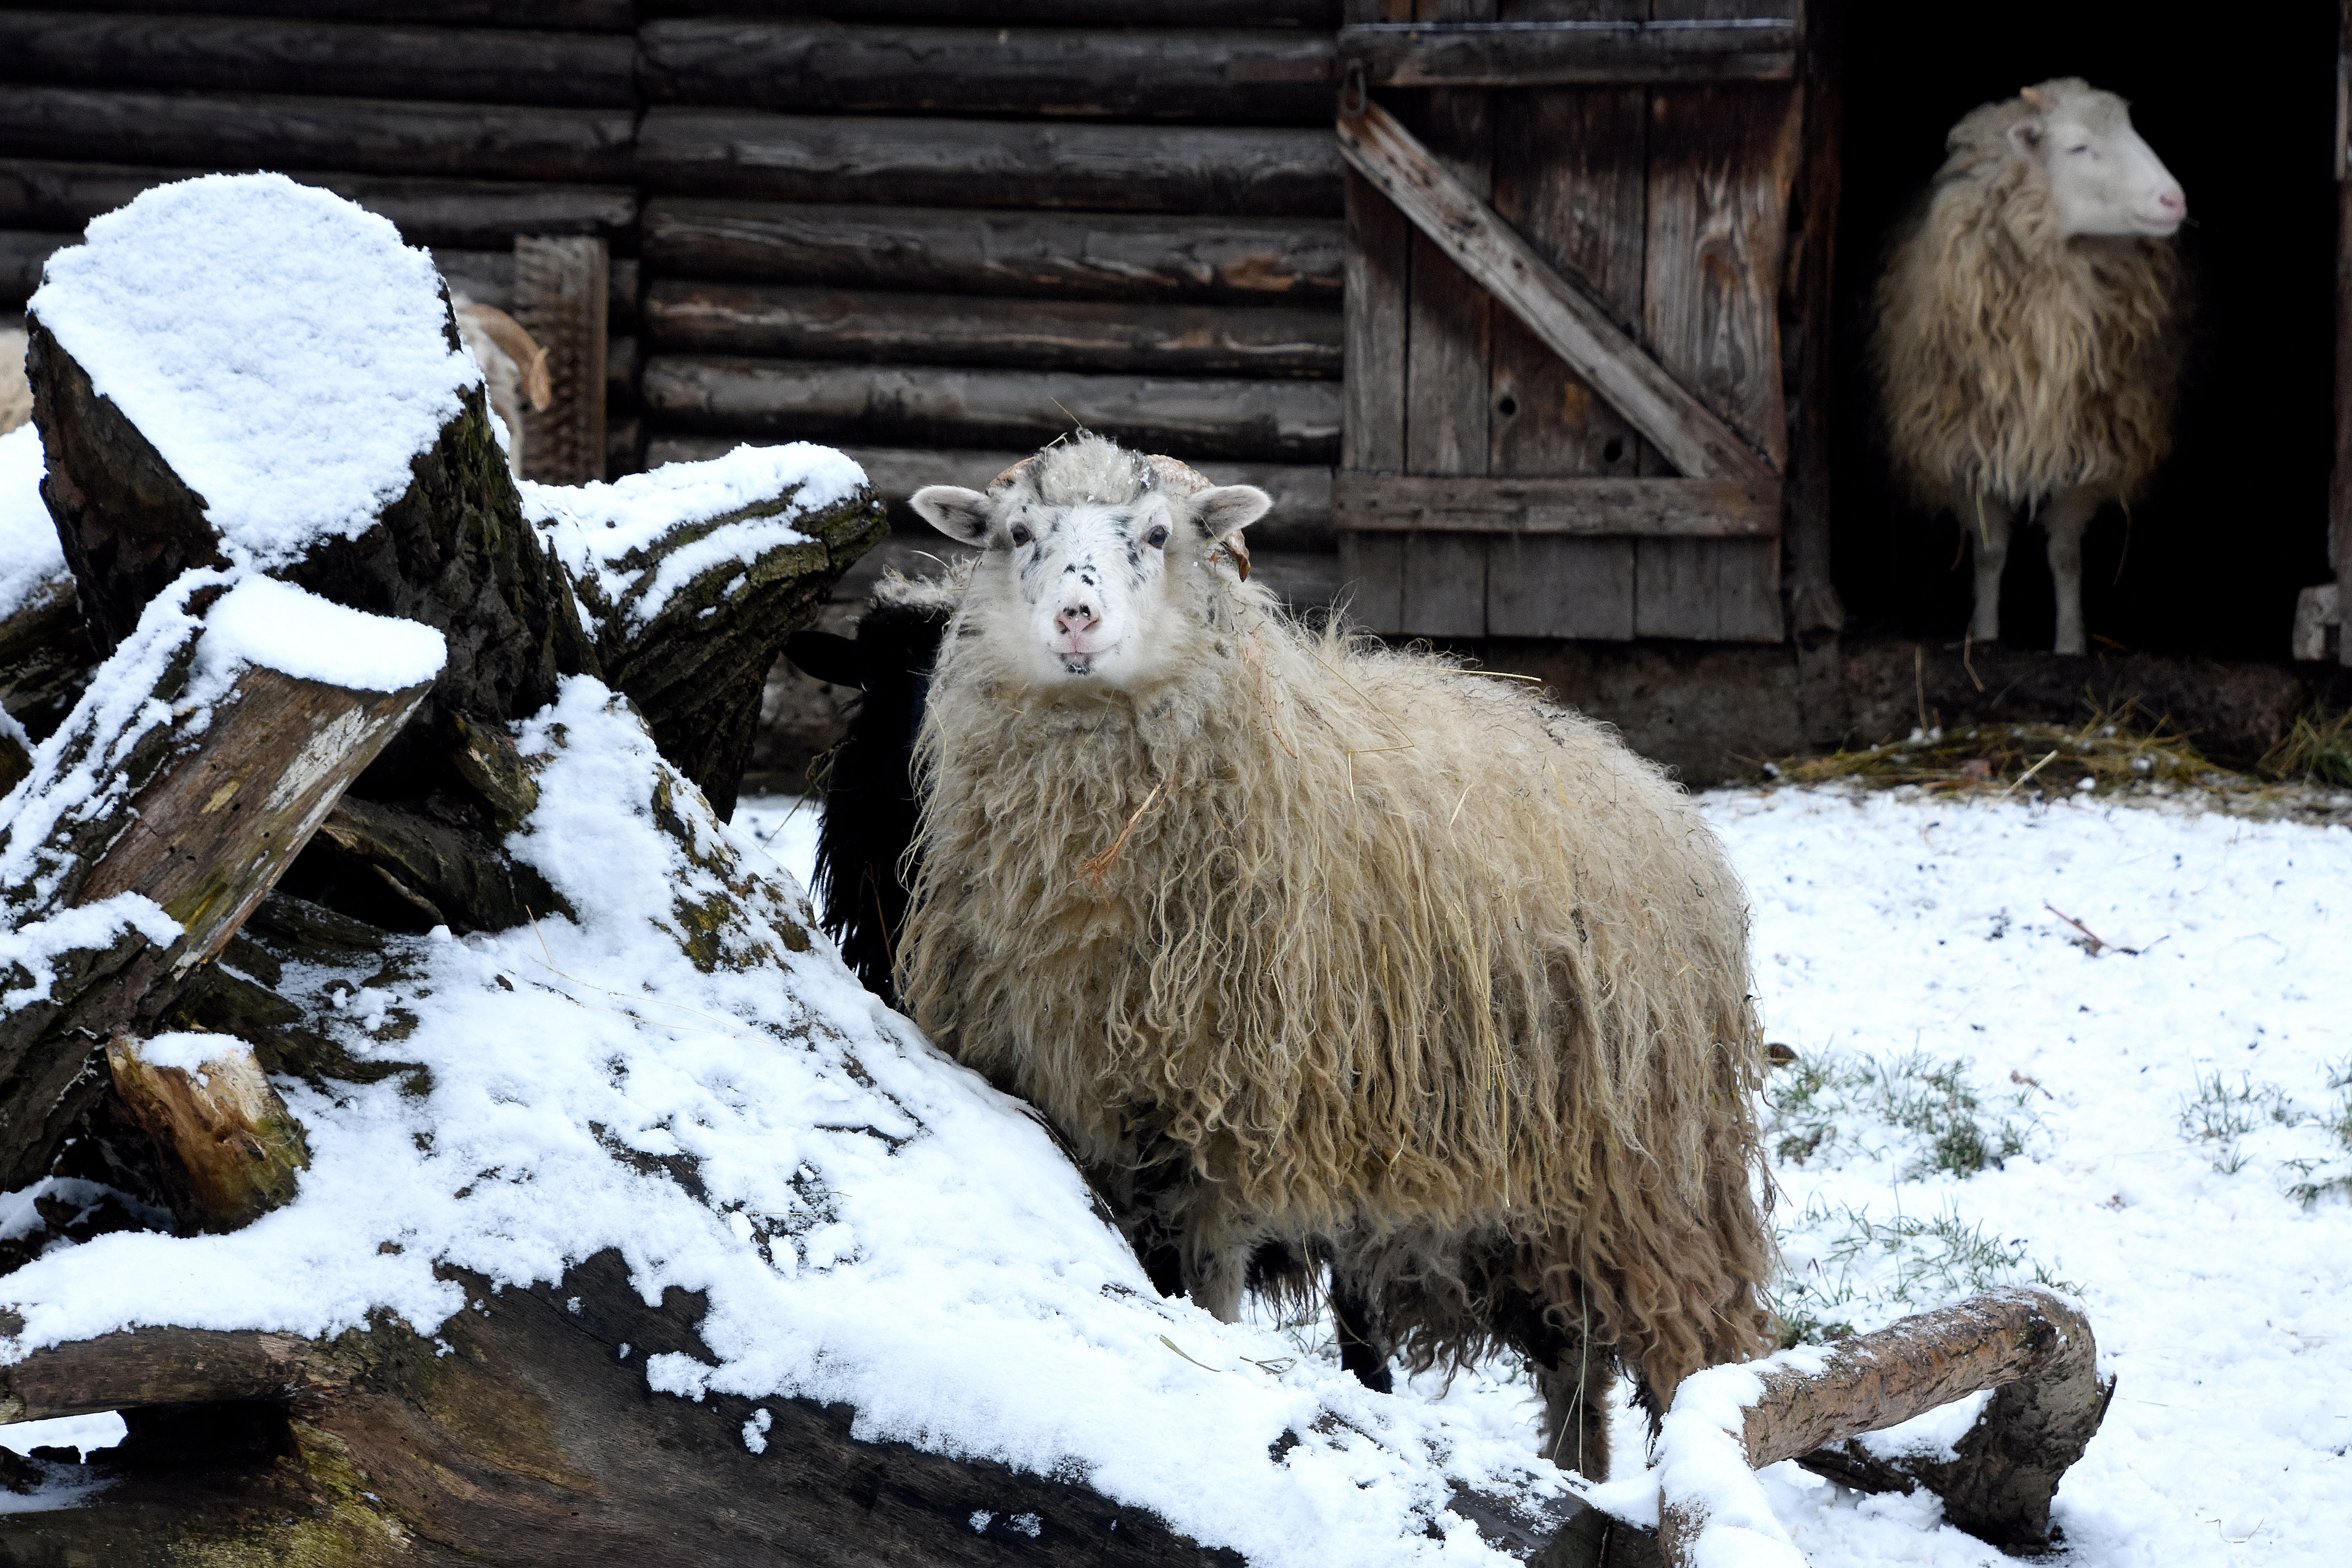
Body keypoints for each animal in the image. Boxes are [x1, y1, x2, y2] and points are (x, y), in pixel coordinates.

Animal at [898, 432, 1769, 1476]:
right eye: (1019, 532)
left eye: (1157, 534)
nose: (1076, 616)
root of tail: (1653, 784)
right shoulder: (1091, 1120)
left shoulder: (1231, 1130)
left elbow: (1210, 1294)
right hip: (1528, 1199)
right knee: (1576, 1364)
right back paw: (1577, 1475)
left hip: (1648, 1184)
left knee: (1683, 1360)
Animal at [1872, 78, 2183, 658]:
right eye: (2079, 147)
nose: (2175, 200)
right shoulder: (1964, 449)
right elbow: (1989, 554)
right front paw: (1986, 639)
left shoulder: (2088, 452)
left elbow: (2066, 558)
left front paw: (2070, 646)